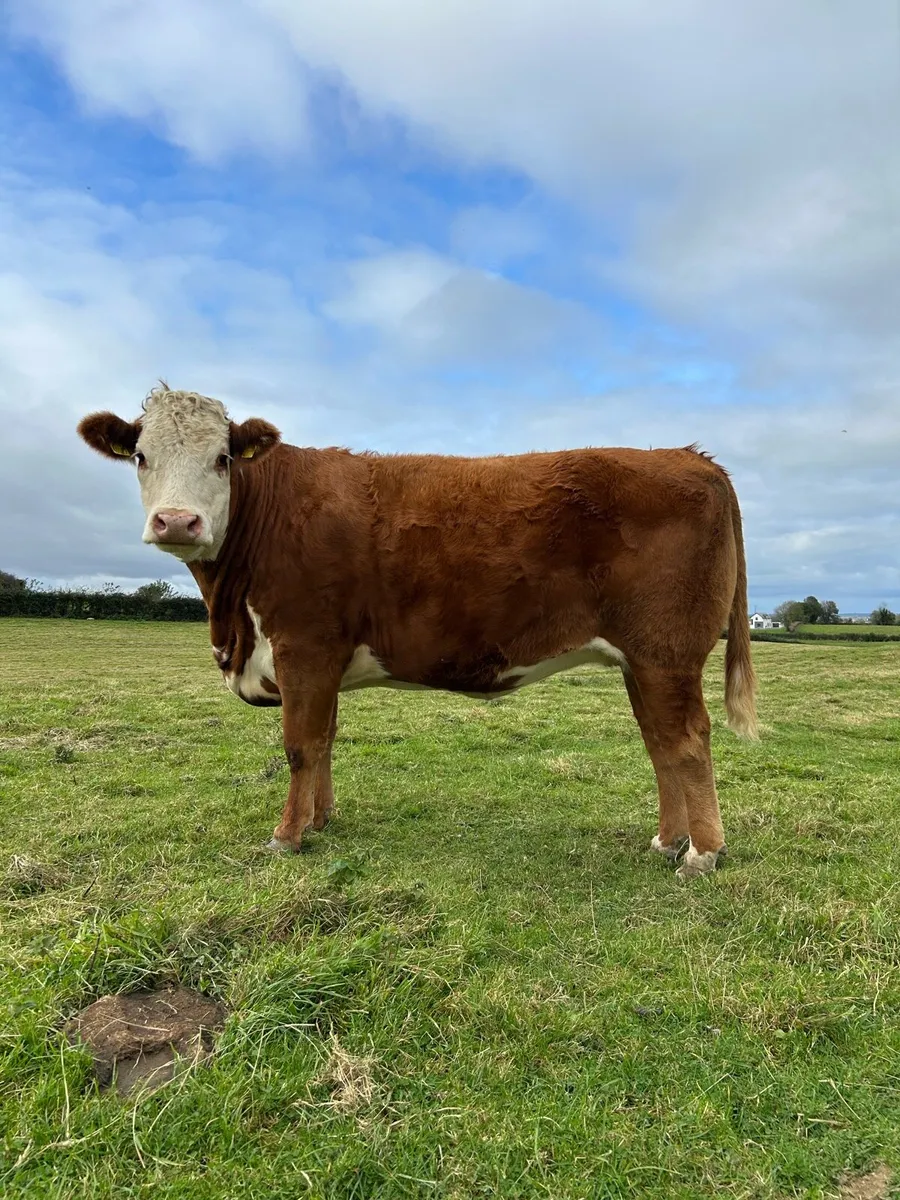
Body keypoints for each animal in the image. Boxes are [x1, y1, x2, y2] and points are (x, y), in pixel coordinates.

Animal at [78, 385, 758, 879]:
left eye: (221, 459)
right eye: (141, 456)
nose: (176, 521)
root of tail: (687, 455)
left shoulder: (302, 645)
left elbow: (298, 745)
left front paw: (286, 837)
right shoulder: (323, 661)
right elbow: (324, 741)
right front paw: (320, 821)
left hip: (666, 654)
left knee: (687, 743)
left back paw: (702, 854)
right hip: (640, 662)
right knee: (660, 743)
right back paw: (667, 842)